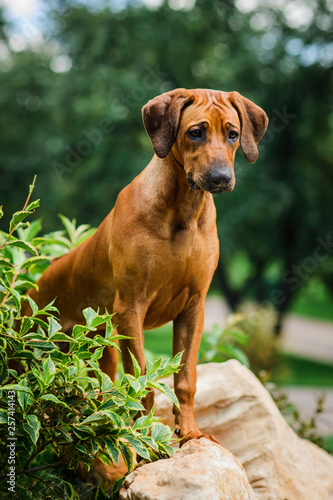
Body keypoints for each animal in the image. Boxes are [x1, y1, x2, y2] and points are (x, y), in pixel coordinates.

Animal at [26, 88, 268, 444]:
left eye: (233, 134)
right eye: (196, 132)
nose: (221, 179)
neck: (184, 211)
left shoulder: (194, 308)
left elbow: (186, 378)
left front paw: (190, 432)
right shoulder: (130, 308)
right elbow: (142, 381)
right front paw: (141, 438)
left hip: (103, 348)